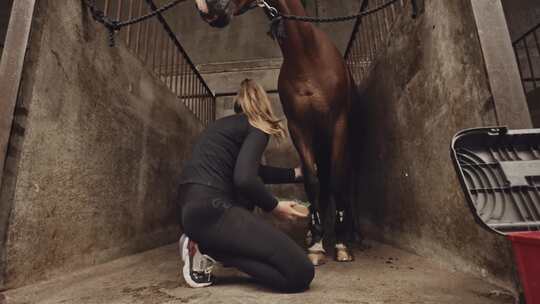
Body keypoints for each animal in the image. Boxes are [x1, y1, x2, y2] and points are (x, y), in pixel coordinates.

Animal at [196, 0, 356, 264]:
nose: (206, 9)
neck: (308, 58)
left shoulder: (339, 123)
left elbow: (338, 179)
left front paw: (342, 245)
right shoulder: (299, 127)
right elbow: (312, 180)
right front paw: (317, 245)